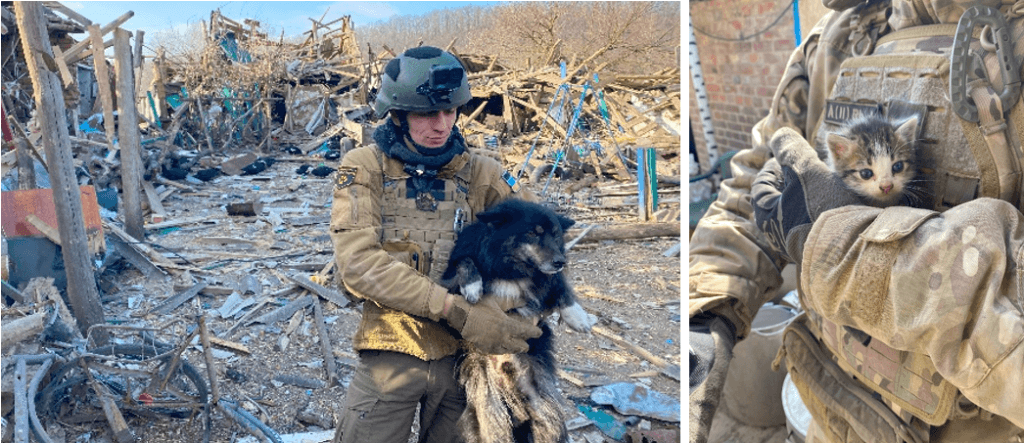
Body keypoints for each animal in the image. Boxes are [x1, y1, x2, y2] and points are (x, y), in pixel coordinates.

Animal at [440, 198, 593, 439]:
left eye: (556, 235)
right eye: (533, 233)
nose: (560, 261)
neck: (513, 269)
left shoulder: (546, 283)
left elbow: (561, 285)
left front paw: (578, 316)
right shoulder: (450, 279)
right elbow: (464, 261)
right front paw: (473, 286)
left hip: (543, 405)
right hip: (489, 410)